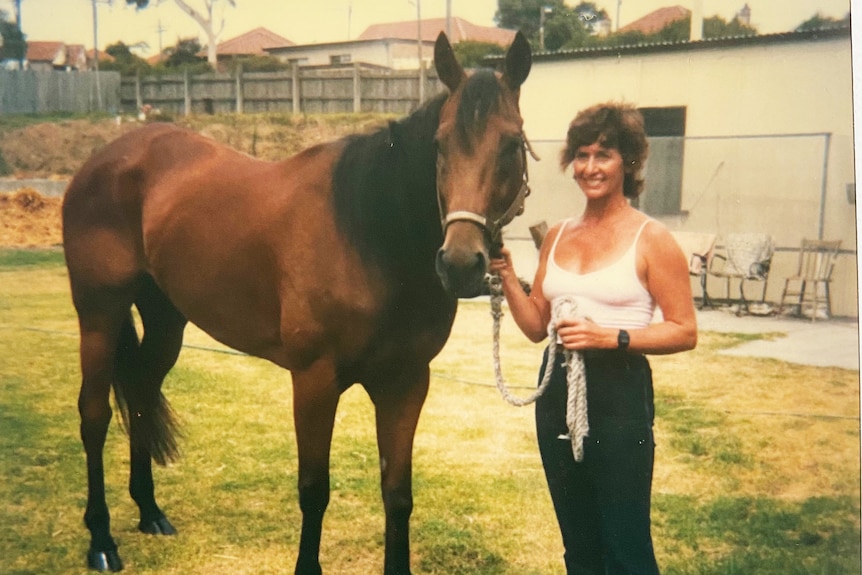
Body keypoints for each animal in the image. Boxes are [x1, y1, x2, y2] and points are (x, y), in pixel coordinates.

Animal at [60, 32, 528, 575]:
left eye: (512, 144)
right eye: (439, 144)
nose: (460, 264)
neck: (369, 234)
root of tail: (102, 160)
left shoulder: (406, 383)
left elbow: (397, 494)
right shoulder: (313, 380)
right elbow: (314, 489)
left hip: (165, 322)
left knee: (138, 394)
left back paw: (150, 511)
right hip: (99, 315)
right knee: (94, 416)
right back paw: (101, 539)